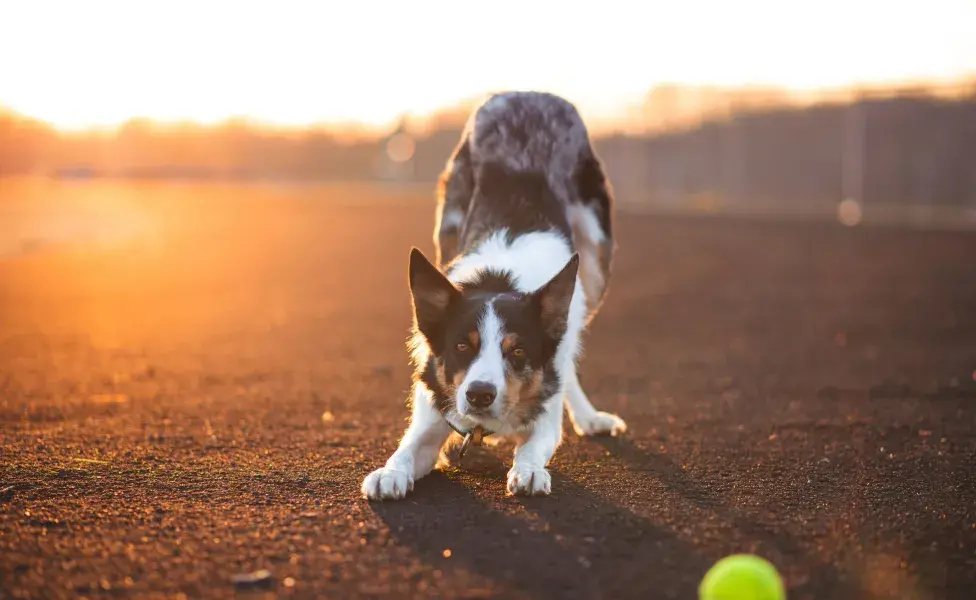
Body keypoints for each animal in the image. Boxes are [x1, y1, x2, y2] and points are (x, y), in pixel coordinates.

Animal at [360, 90, 624, 502]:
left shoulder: (545, 410)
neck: (499, 282)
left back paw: (589, 416)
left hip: (595, 260)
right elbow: (407, 448)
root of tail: (527, 94)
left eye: (517, 351)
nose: (479, 395)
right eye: (461, 346)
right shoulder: (433, 408)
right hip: (447, 225)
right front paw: (389, 473)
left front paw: (529, 470)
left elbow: (537, 439)